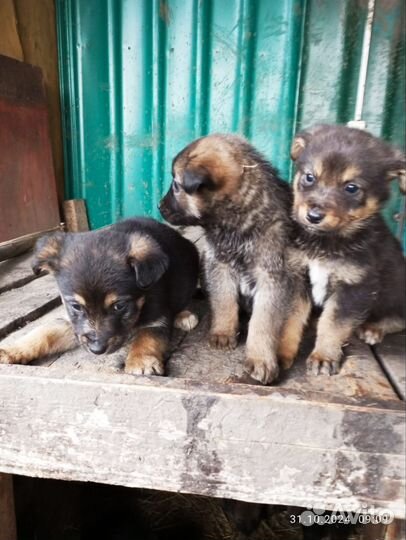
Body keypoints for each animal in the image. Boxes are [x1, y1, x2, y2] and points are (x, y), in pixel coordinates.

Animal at [159, 134, 304, 384]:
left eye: (176, 185)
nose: (159, 206)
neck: (236, 224)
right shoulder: (218, 265)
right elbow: (224, 300)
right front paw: (223, 332)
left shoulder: (272, 277)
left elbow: (263, 321)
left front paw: (261, 359)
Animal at [290, 124, 404, 374]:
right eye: (309, 177)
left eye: (351, 188)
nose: (313, 216)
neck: (327, 242)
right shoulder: (298, 274)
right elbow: (289, 317)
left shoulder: (355, 287)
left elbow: (333, 324)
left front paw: (323, 356)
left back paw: (374, 328)